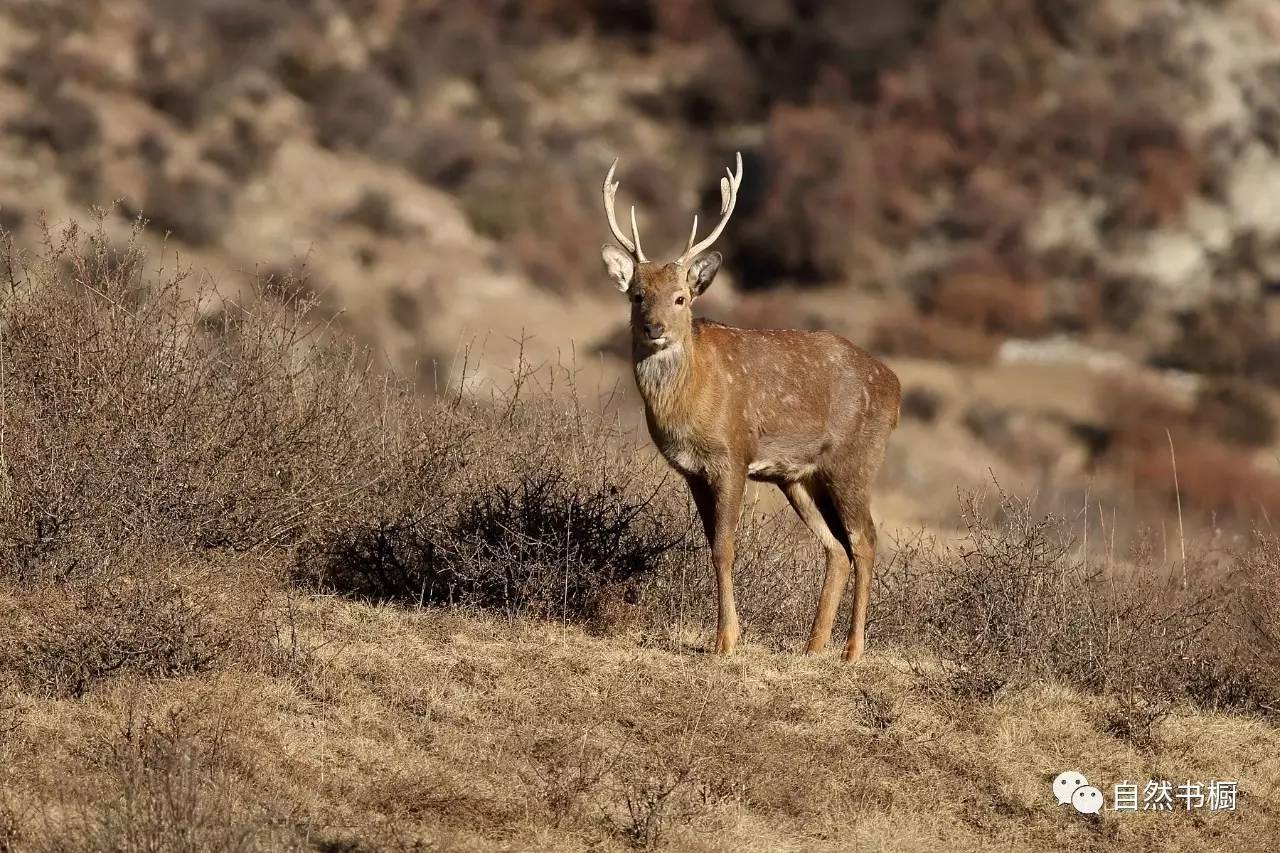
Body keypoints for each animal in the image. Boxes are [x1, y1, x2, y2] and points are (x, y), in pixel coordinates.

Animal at [599, 151, 901, 655]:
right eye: (637, 295)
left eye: (681, 298)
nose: (654, 328)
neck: (692, 400)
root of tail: (896, 388)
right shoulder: (692, 470)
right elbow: (711, 544)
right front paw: (726, 635)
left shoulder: (733, 454)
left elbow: (726, 546)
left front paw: (726, 640)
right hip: (799, 476)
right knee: (836, 548)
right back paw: (814, 645)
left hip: (855, 460)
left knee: (865, 540)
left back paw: (852, 651)